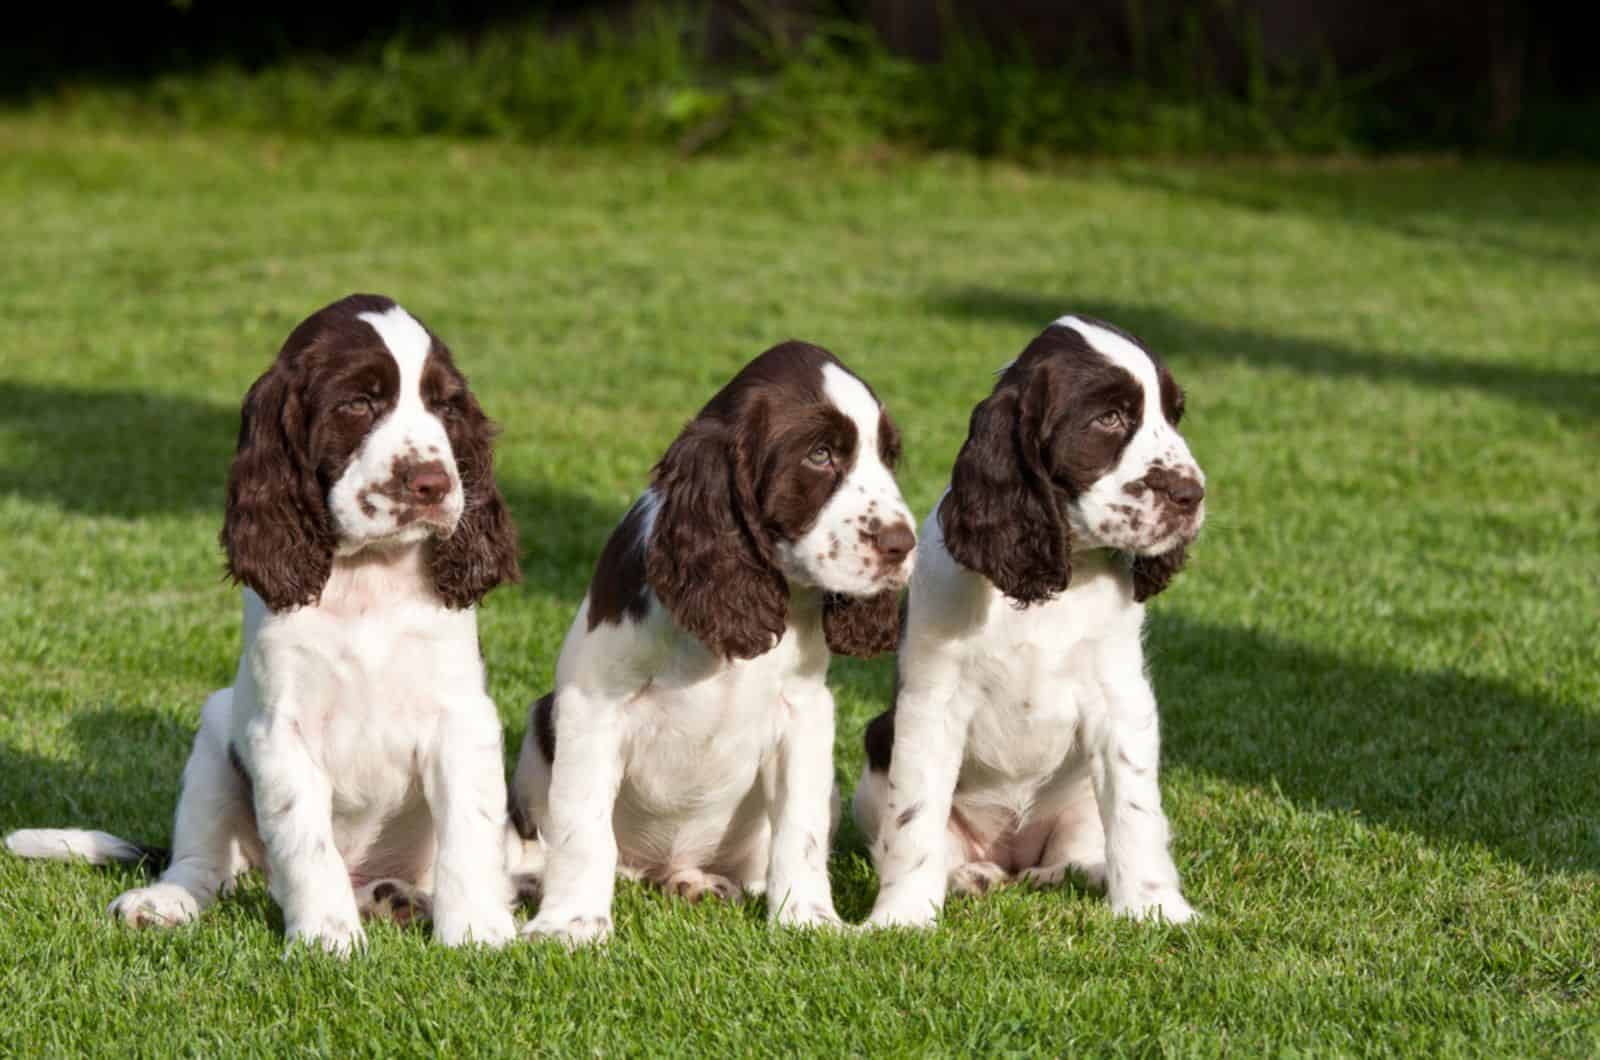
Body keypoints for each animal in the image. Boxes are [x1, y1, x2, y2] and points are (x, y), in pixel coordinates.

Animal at [6, 294, 518, 960]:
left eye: (446, 406)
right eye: (358, 403)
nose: (434, 485)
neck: (367, 580)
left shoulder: (462, 717)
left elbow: (470, 832)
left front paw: (479, 931)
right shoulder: (280, 729)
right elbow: (305, 839)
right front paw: (327, 938)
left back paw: (400, 900)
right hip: (214, 732)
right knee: (203, 865)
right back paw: (165, 903)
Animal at [505, 341, 921, 947]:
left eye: (889, 456)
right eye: (820, 454)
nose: (902, 545)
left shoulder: (805, 713)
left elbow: (800, 827)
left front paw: (808, 919)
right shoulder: (593, 707)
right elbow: (583, 826)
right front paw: (572, 924)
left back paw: (697, 883)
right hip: (543, 726)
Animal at [857, 315, 1203, 928]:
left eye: (1174, 414)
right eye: (1109, 418)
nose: (1192, 493)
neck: (1054, 579)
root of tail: (1011, 856)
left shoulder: (1121, 696)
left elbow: (1136, 811)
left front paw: (1155, 908)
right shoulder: (931, 703)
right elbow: (914, 818)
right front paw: (902, 917)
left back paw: (1078, 872)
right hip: (878, 746)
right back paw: (967, 876)